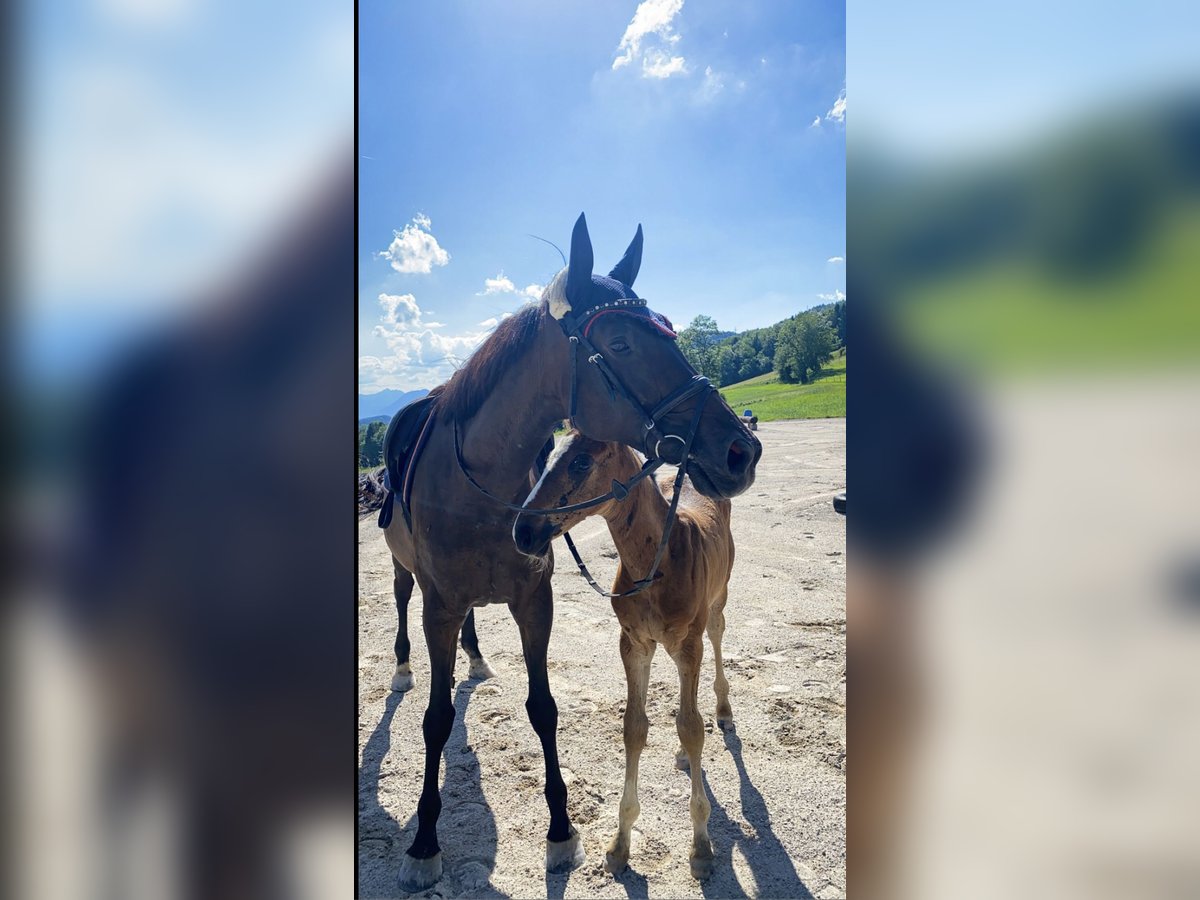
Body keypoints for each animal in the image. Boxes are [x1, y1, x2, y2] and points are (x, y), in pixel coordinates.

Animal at [384, 214, 758, 892]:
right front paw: (423, 843)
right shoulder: (440, 606)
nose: (741, 449)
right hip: (409, 577)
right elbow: (435, 718)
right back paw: (406, 667)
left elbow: (545, 708)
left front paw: (563, 832)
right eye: (621, 342)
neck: (480, 488)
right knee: (402, 607)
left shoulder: (537, 600)